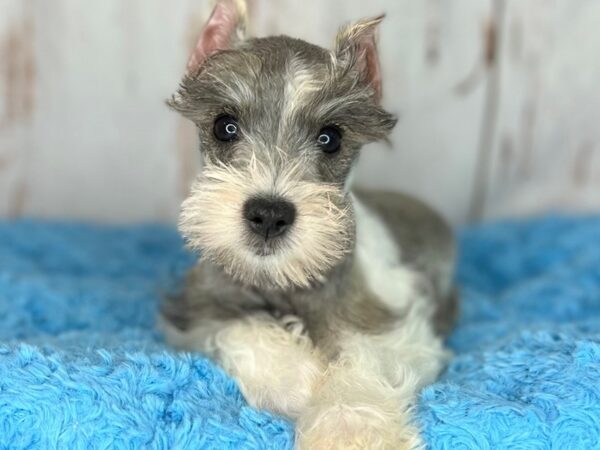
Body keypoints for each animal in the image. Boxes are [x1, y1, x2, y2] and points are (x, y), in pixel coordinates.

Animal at [162, 1, 458, 448]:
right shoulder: (192, 310)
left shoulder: (395, 323)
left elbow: (363, 356)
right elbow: (240, 323)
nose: (269, 214)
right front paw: (295, 376)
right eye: (224, 126)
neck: (284, 283)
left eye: (330, 138)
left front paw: (350, 427)